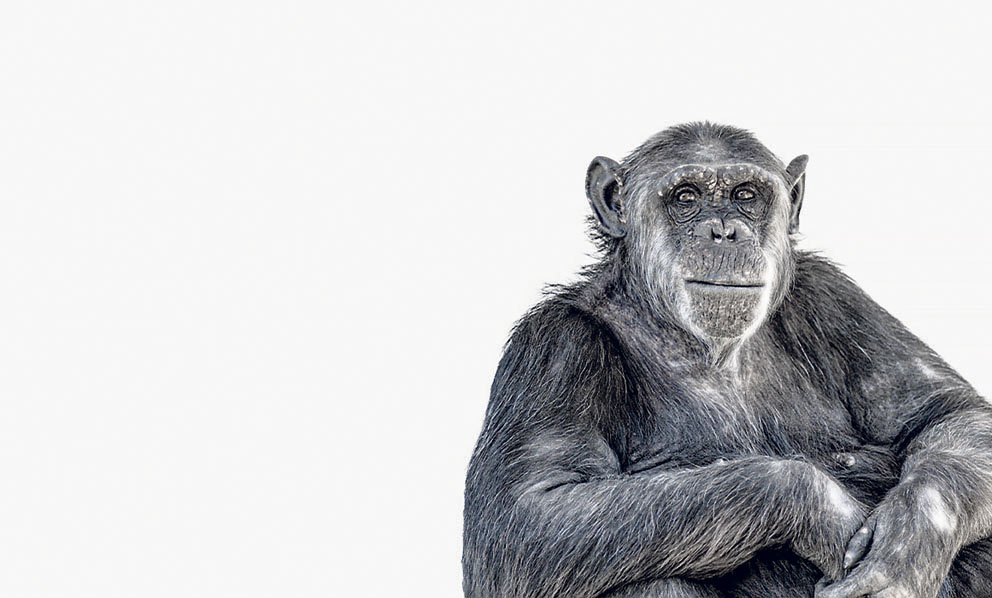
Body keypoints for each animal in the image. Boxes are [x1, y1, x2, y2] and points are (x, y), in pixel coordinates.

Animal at [462, 123, 992, 598]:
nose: (723, 231)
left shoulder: (837, 299)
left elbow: (950, 414)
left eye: (745, 194)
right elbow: (529, 515)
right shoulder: (555, 350)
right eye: (686, 197)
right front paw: (820, 508)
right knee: (646, 576)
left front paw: (911, 540)